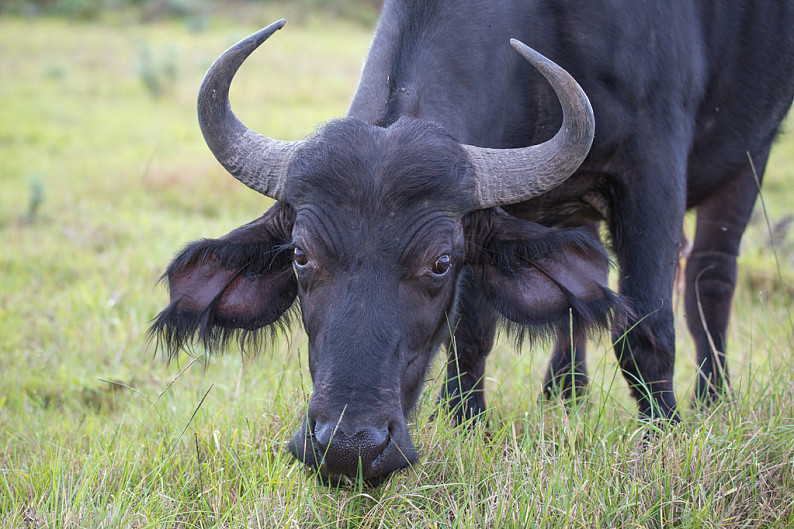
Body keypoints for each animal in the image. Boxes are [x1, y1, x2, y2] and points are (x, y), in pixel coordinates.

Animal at [152, 1, 792, 482]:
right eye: (301, 256)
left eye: (440, 262)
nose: (349, 446)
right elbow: (471, 338)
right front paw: (467, 425)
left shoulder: (652, 170)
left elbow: (646, 330)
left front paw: (664, 433)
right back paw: (566, 394)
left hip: (749, 156)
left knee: (709, 275)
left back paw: (713, 397)